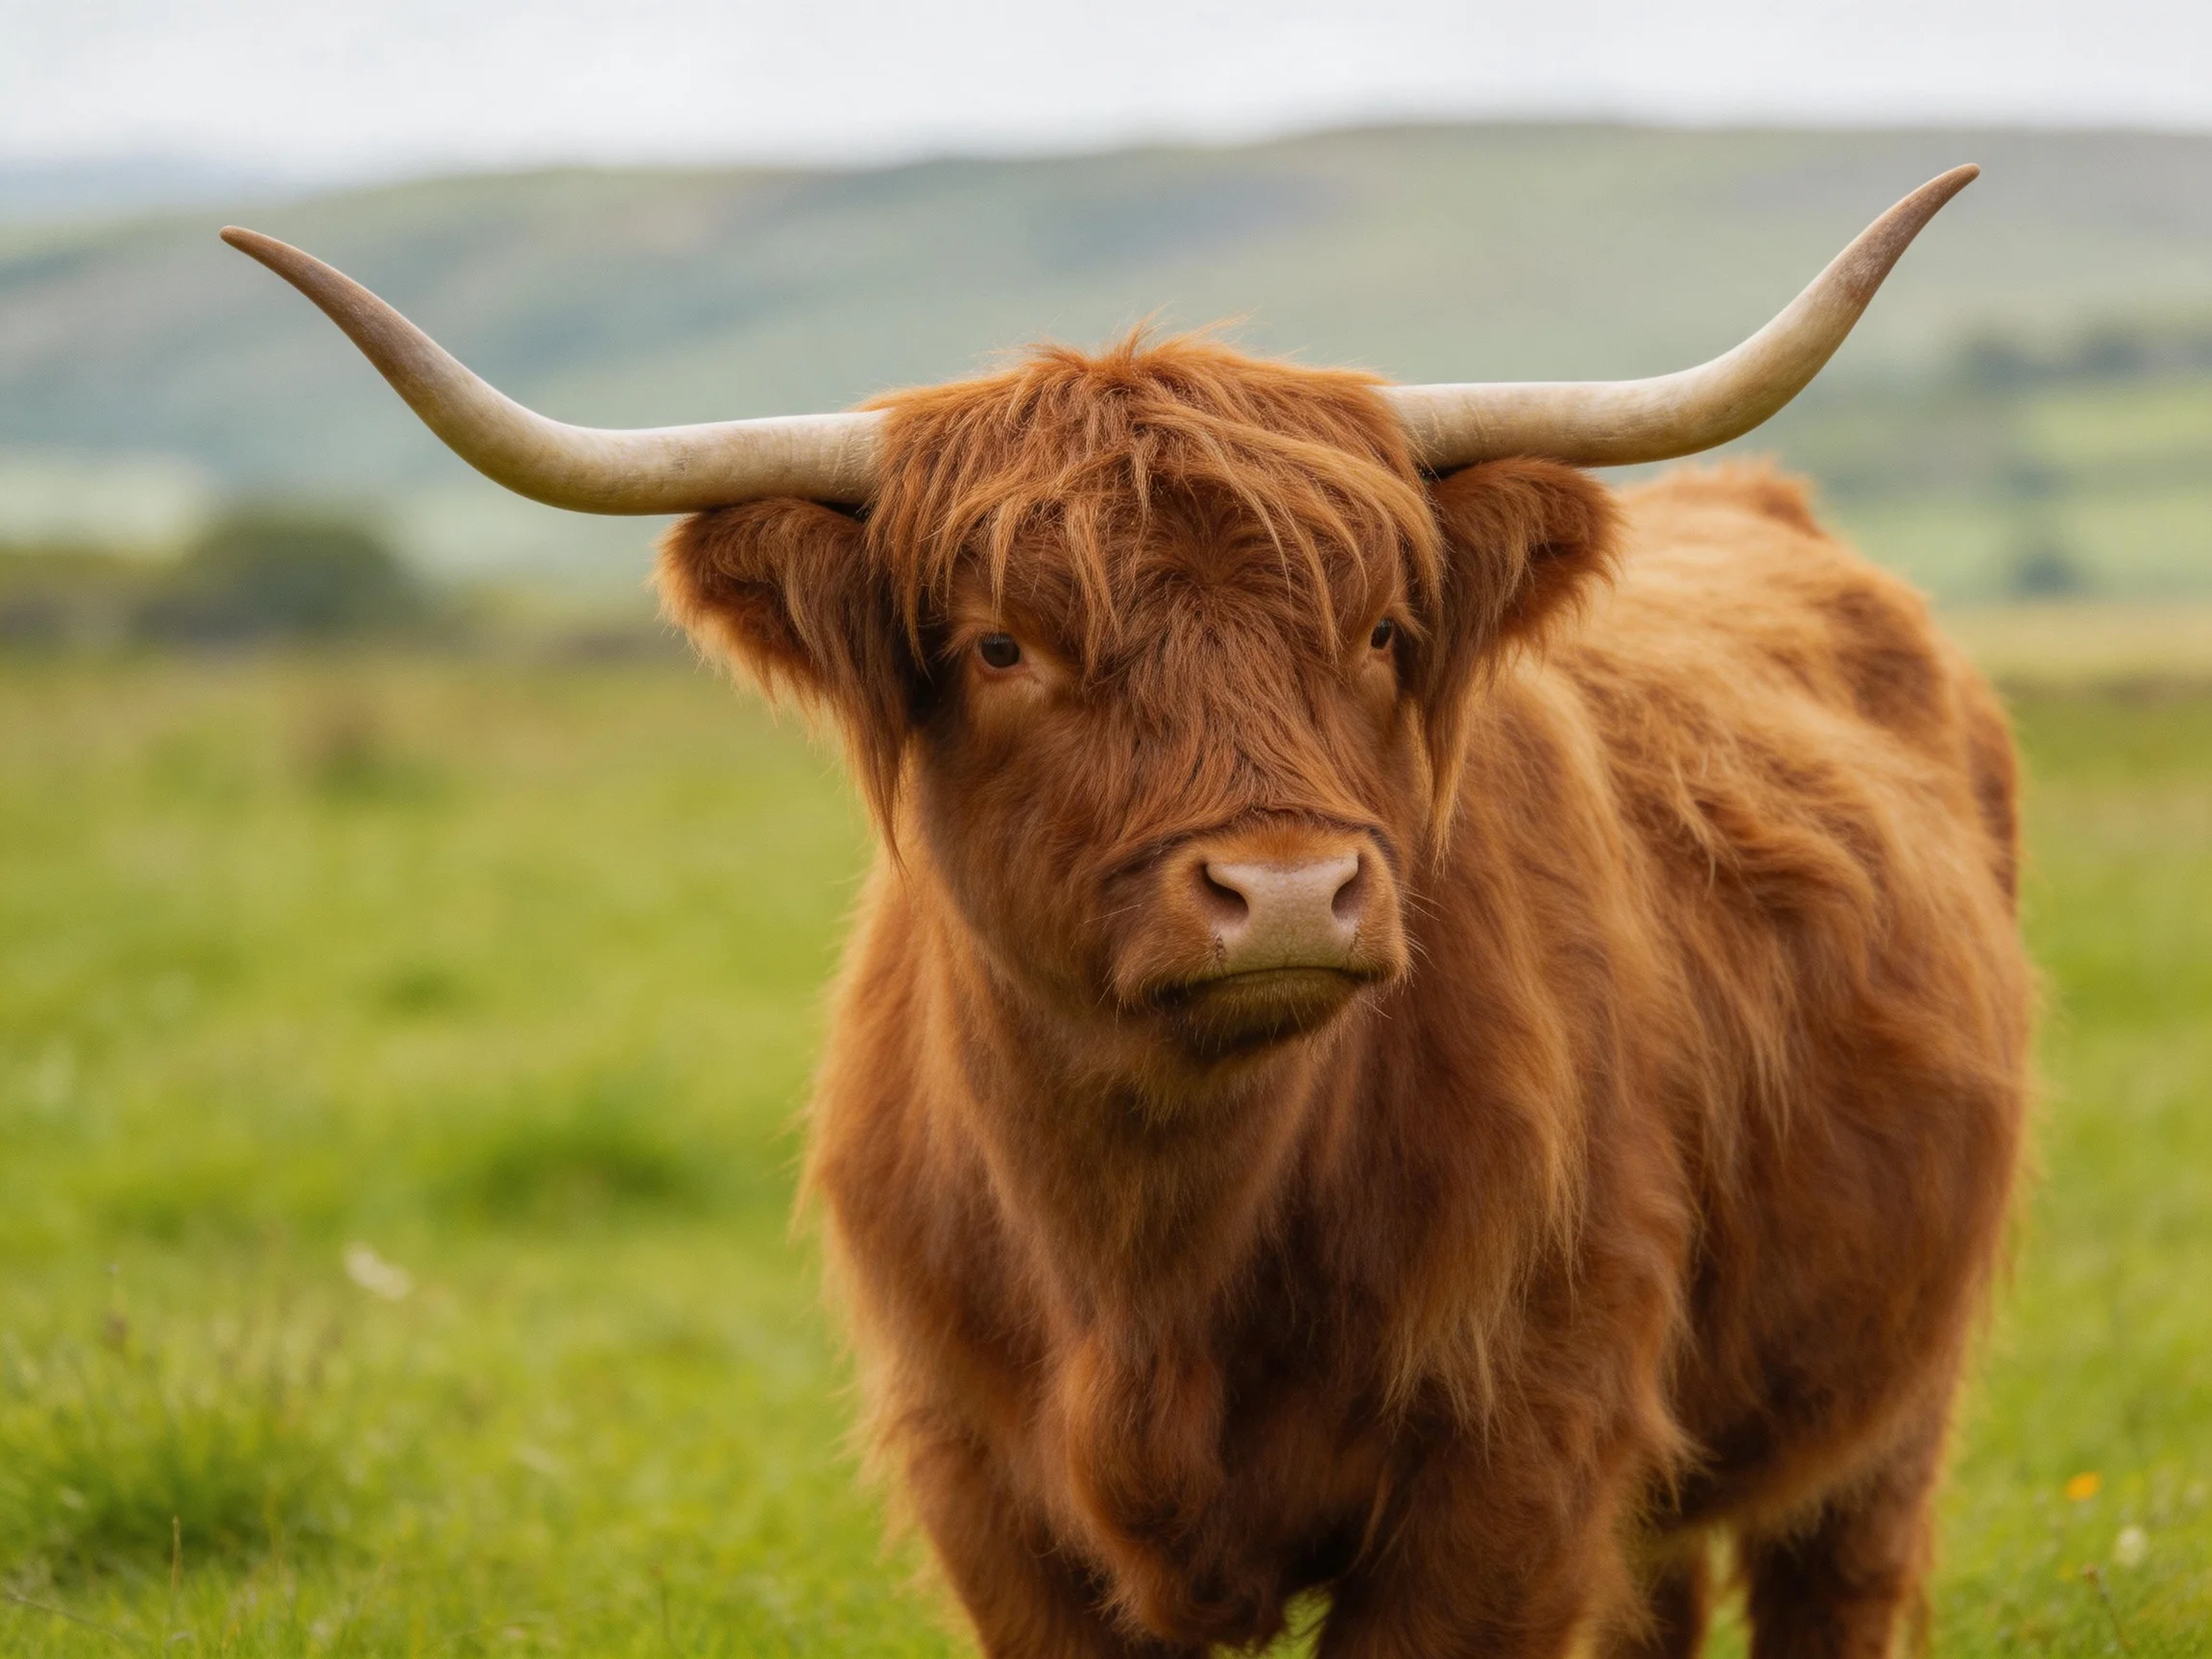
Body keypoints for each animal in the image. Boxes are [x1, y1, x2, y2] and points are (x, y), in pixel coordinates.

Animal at [224, 164, 2029, 1658]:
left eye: (1381, 631)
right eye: (999, 644)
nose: (1287, 890)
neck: (1150, 1251)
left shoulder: (1518, 1459)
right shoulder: (982, 1482)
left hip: (1891, 1395)